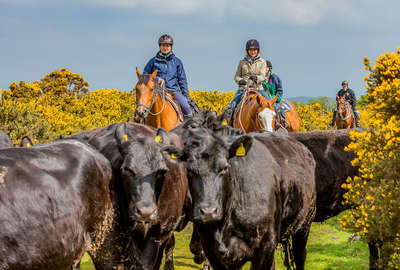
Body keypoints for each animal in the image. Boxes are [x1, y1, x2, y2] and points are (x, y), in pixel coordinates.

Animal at [172, 128, 316, 270]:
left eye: (224, 168)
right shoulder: (211, 249)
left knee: (300, 255)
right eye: (189, 171)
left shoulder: (266, 245)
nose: (208, 211)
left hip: (305, 222)